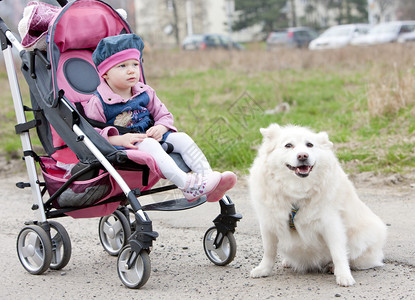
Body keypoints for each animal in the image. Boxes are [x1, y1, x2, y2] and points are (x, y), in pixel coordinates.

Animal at [249, 123, 388, 286]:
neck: (297, 191)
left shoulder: (331, 224)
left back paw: (332, 267)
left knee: (353, 259)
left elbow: (338, 253)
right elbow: (269, 251)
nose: (303, 156)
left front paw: (344, 276)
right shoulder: (268, 223)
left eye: (309, 145)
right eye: (288, 145)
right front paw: (263, 269)